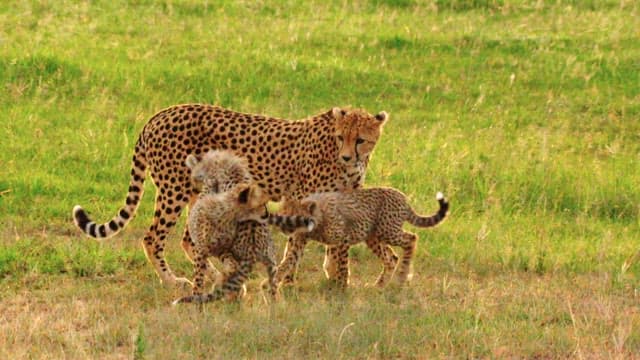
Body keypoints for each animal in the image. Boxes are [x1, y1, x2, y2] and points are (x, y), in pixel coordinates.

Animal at [72, 102, 388, 286]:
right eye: (341, 137)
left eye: (360, 139)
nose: (347, 157)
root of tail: (159, 115)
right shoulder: (300, 198)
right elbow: (300, 245)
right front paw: (304, 280)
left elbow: (334, 243)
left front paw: (334, 276)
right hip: (174, 191)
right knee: (152, 239)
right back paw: (173, 280)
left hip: (198, 193)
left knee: (190, 239)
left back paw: (215, 274)